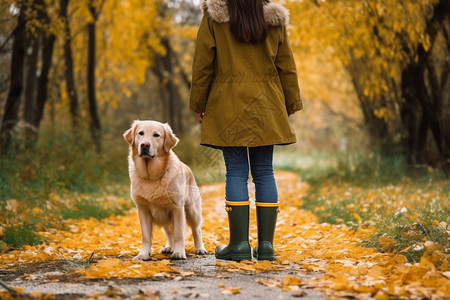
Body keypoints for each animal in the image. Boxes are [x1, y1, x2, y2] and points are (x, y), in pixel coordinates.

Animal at [123, 120, 207, 260]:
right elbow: (146, 237)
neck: (151, 176)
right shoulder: (143, 209)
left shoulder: (177, 208)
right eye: (140, 133)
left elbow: (179, 234)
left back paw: (200, 249)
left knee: (196, 230)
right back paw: (169, 247)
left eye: (156, 135)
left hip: (191, 210)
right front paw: (143, 254)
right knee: (169, 232)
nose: (144, 145)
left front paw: (179, 252)